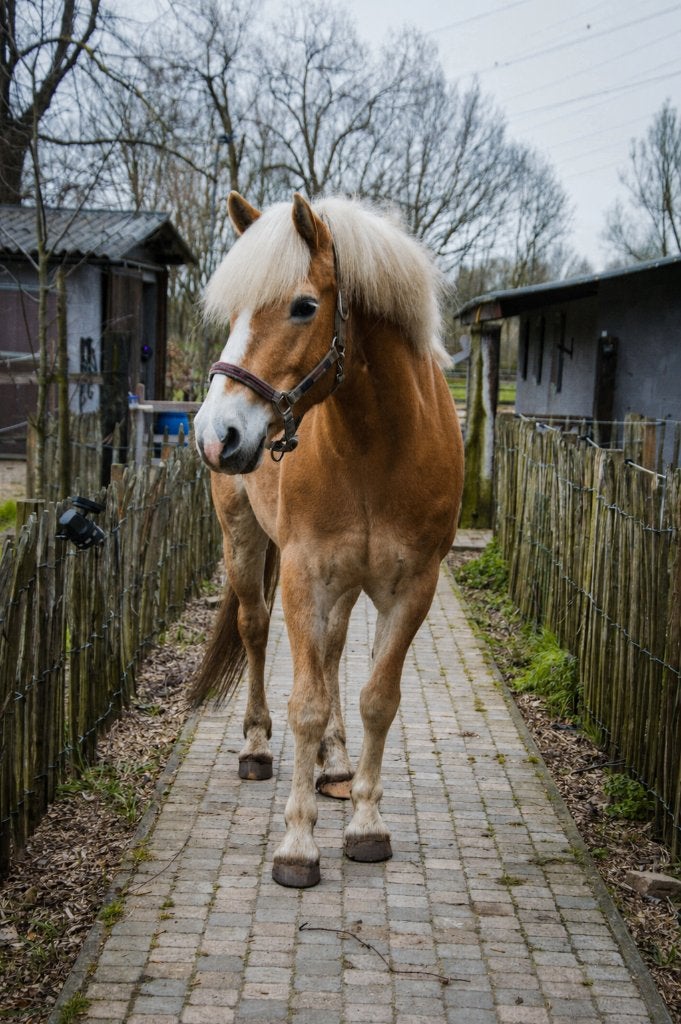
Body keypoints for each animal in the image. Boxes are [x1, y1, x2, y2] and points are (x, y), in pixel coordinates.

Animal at [191, 191, 464, 888]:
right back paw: (258, 747)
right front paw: (297, 843)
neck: (377, 445)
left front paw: (366, 823)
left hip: (342, 586)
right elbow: (306, 703)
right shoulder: (302, 575)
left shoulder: (412, 588)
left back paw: (335, 766)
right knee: (256, 629)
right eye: (234, 311)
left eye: (303, 306)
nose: (215, 435)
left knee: (336, 650)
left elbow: (376, 699)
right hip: (244, 541)